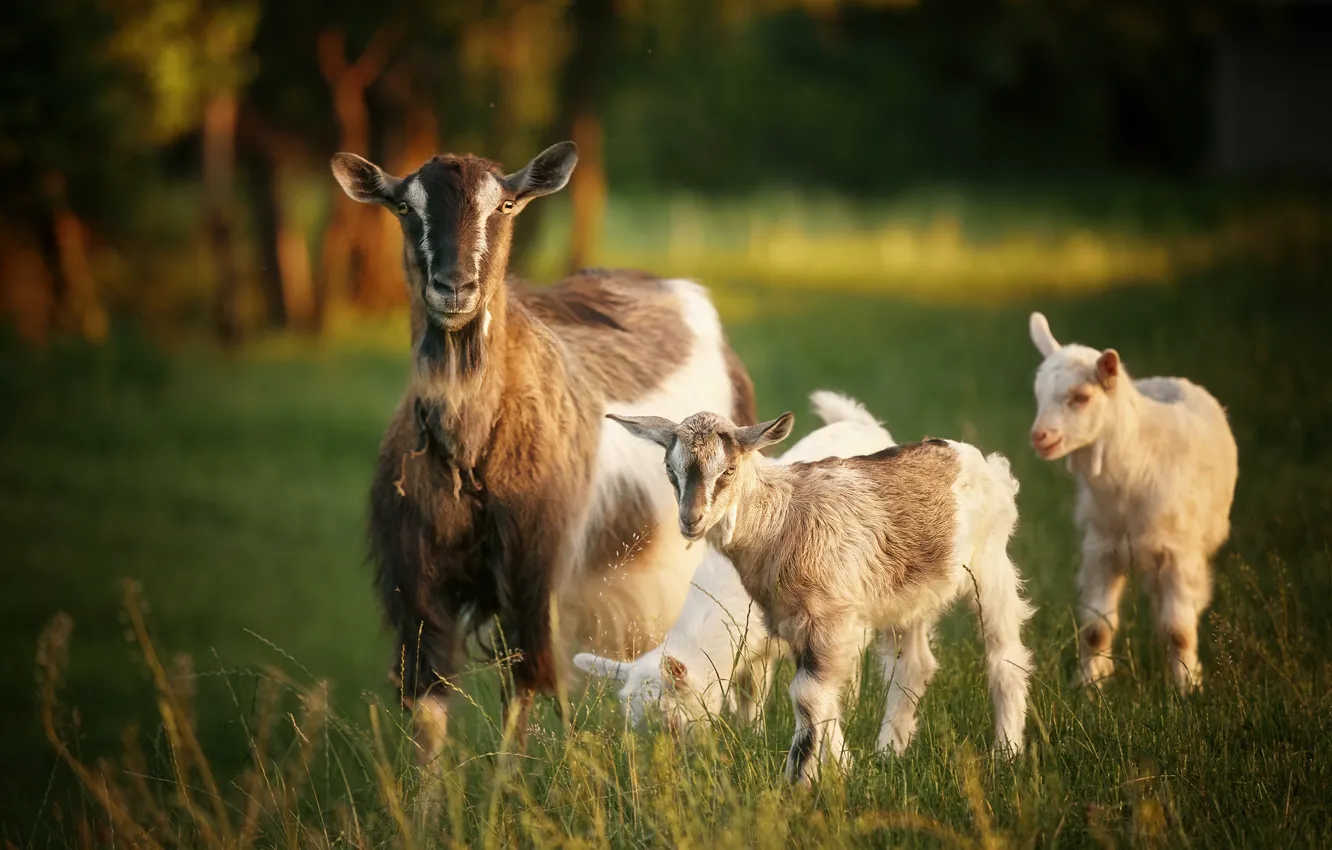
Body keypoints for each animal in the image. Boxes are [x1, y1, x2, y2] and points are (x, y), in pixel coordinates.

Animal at [330, 142, 757, 758]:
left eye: (506, 204)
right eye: (404, 207)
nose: (454, 288)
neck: (472, 453)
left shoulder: (533, 576)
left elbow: (524, 694)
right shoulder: (418, 586)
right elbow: (428, 709)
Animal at [608, 408, 1033, 784]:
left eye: (728, 470)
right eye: (670, 469)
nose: (690, 520)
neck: (780, 518)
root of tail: (966, 454)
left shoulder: (831, 620)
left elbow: (808, 696)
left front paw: (798, 782)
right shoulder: (793, 623)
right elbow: (818, 698)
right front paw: (843, 769)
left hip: (990, 565)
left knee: (1004, 657)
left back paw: (1006, 753)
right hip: (908, 597)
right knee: (912, 667)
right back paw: (889, 753)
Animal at [1027, 312, 1237, 693]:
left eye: (1081, 396)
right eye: (1038, 394)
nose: (1040, 437)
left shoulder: (1179, 553)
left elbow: (1179, 630)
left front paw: (1187, 686)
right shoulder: (1100, 549)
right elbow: (1096, 629)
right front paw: (1090, 685)